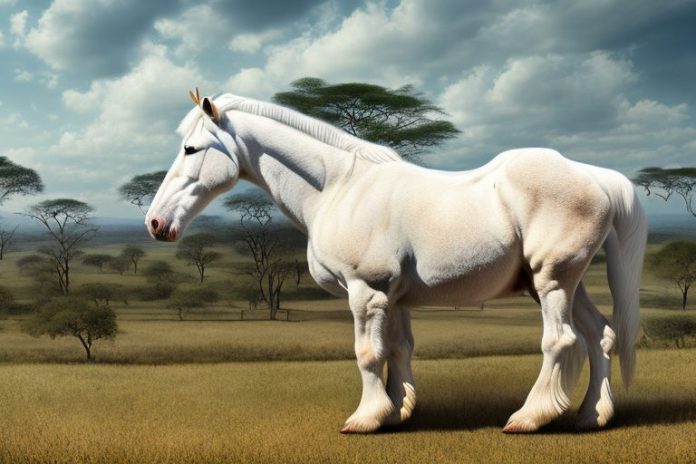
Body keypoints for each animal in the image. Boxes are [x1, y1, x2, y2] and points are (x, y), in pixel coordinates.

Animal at [146, 89, 647, 433]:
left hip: (552, 283)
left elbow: (368, 354)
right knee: (600, 336)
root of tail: (596, 177)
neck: (339, 187)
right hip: (568, 285)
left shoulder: (366, 292)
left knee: (561, 341)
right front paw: (397, 410)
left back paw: (529, 417)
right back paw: (591, 416)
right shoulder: (395, 298)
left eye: (191, 149)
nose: (155, 222)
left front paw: (365, 419)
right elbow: (399, 350)